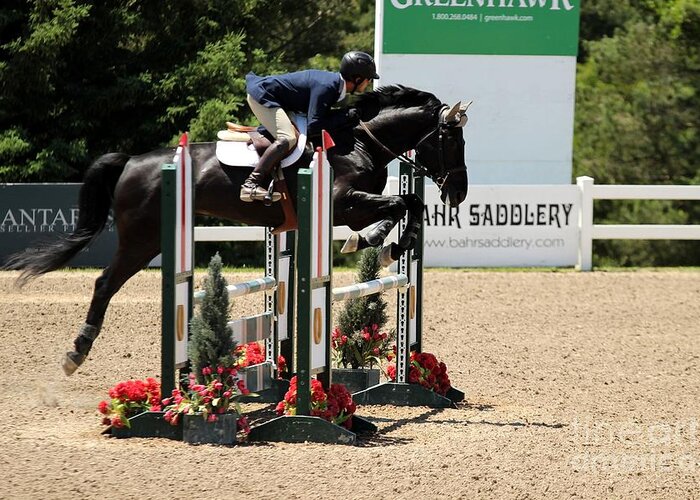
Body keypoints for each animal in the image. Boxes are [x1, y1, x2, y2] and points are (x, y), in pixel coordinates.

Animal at [4, 87, 470, 376]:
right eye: (452, 142)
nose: (460, 192)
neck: (360, 141)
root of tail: (132, 160)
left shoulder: (351, 207)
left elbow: (410, 204)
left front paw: (391, 243)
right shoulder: (342, 203)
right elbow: (396, 206)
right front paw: (377, 241)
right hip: (142, 239)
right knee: (104, 282)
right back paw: (76, 352)